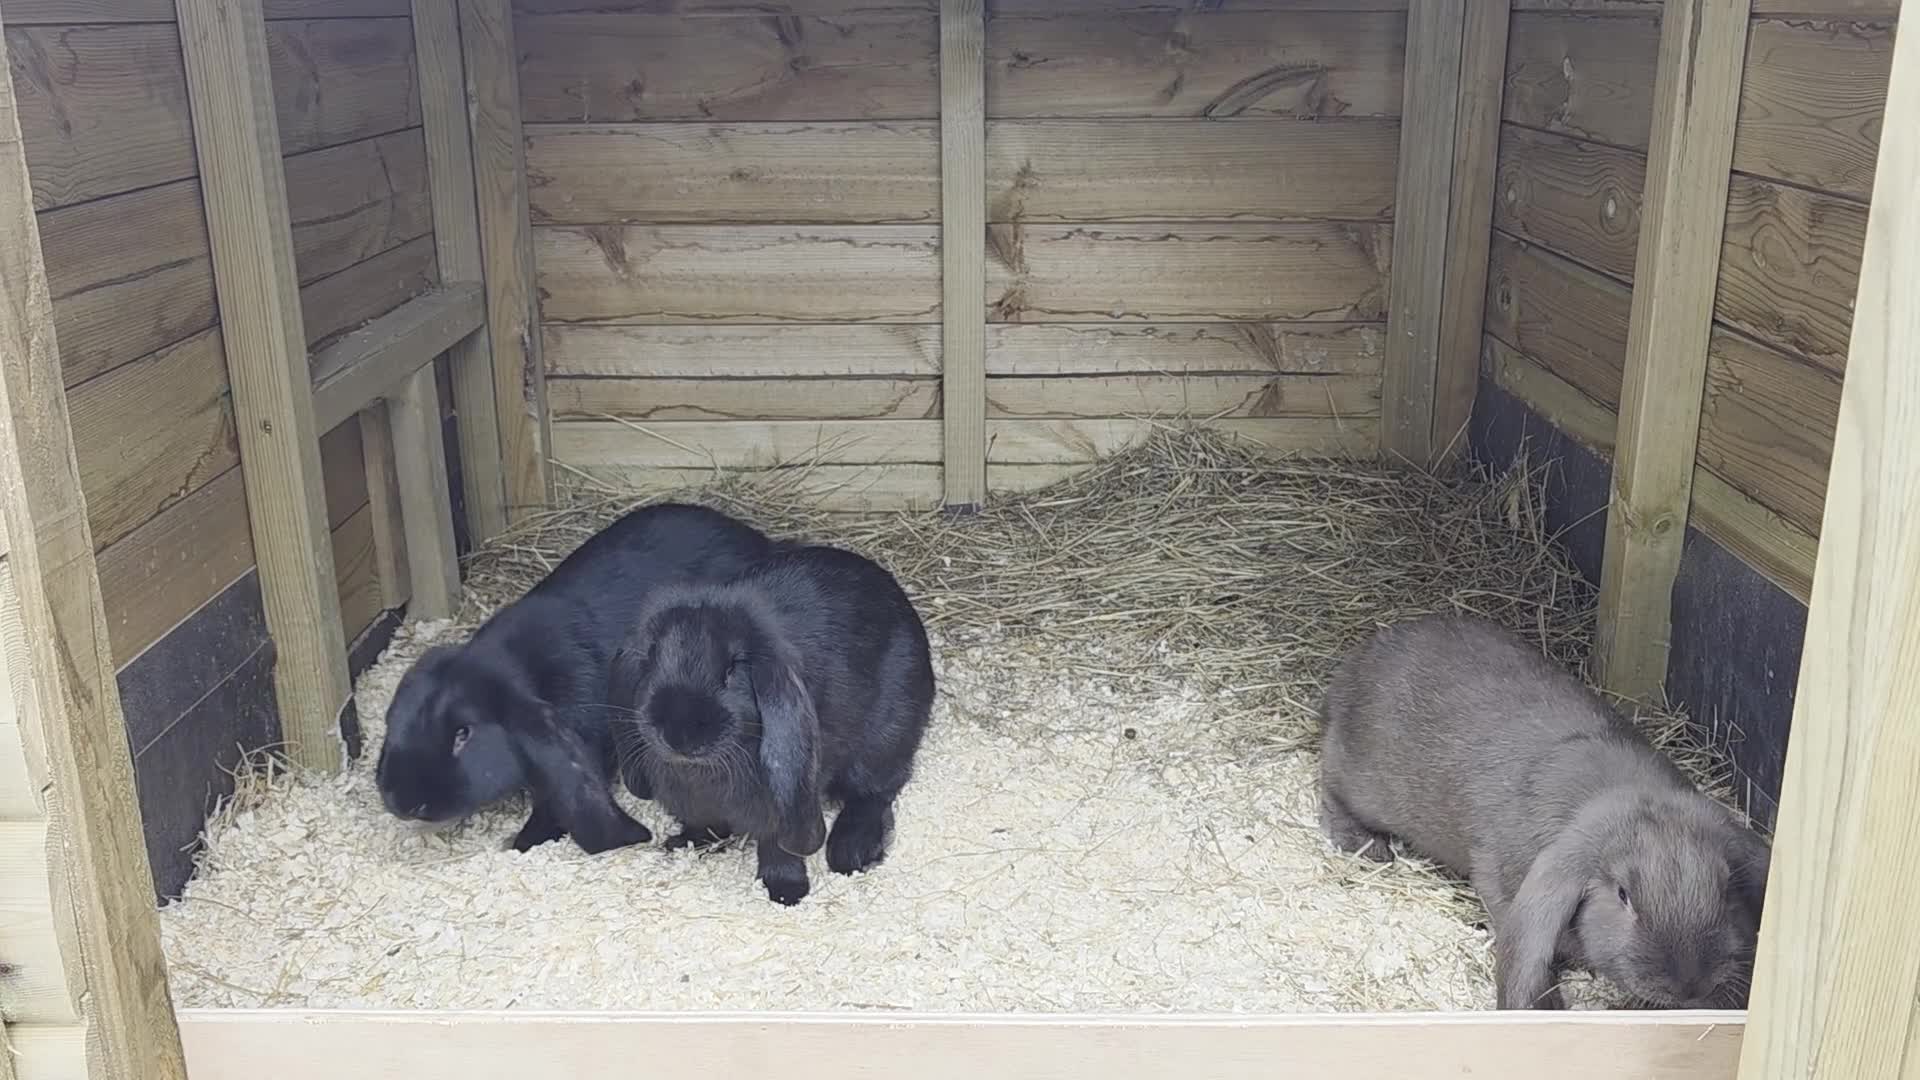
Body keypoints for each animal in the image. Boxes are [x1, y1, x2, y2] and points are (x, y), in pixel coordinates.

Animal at [605, 543, 935, 905]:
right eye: (652, 659)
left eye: (732, 670)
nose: (679, 734)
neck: (703, 771)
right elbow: (703, 823)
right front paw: (683, 844)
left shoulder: (787, 800)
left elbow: (778, 847)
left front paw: (786, 892)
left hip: (884, 741)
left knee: (877, 791)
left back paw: (853, 852)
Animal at [1316, 613, 1771, 1011]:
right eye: (1623, 895)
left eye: (1727, 887)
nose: (1689, 986)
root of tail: (1354, 669)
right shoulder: (1500, 881)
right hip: (1360, 780)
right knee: (1330, 783)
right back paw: (1366, 845)